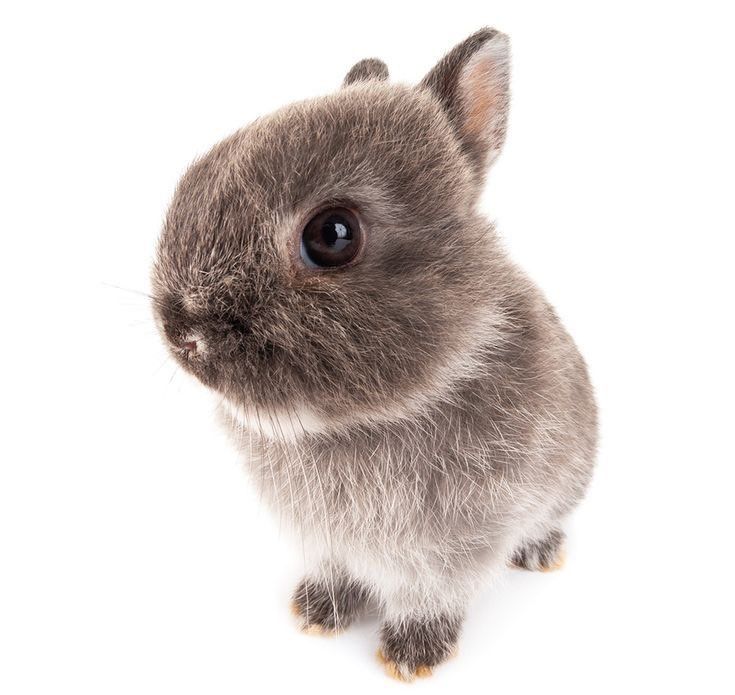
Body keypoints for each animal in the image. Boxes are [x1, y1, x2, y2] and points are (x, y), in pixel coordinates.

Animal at [151, 28, 600, 684]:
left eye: (332, 235)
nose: (183, 333)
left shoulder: (452, 549)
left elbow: (428, 597)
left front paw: (411, 656)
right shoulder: (326, 542)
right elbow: (336, 575)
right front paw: (317, 613)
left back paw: (540, 553)